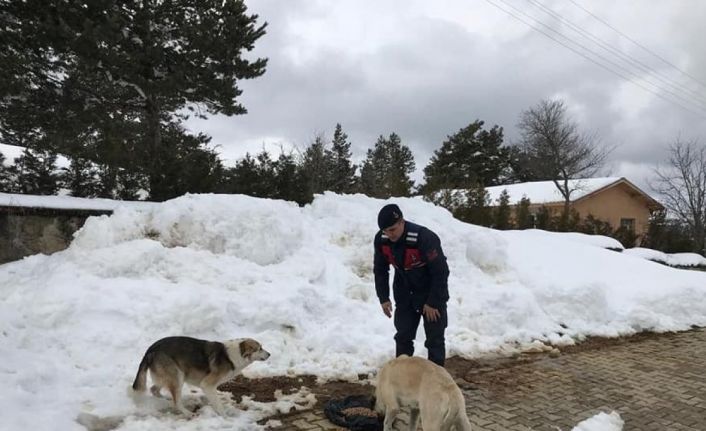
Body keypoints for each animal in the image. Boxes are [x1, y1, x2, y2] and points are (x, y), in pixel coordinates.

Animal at [131, 338, 268, 416]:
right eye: (259, 348)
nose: (269, 354)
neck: (235, 354)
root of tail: (150, 349)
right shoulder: (207, 385)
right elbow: (218, 405)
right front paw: (225, 417)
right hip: (178, 376)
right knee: (176, 402)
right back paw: (186, 412)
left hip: (168, 377)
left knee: (154, 389)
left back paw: (165, 399)